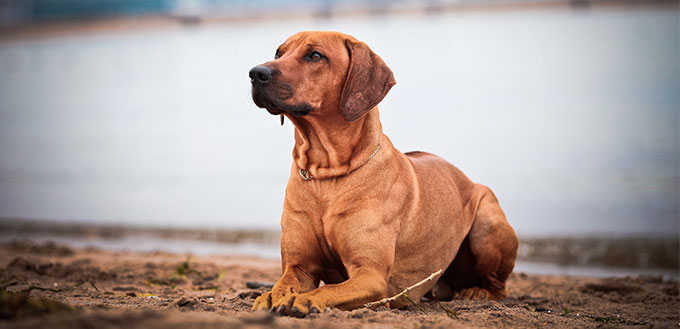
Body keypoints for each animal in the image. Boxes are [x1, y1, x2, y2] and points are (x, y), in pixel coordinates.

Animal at [250, 31, 520, 318]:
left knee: (498, 285)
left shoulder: (371, 275)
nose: (256, 73)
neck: (326, 177)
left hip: (487, 222)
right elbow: (285, 281)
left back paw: (478, 292)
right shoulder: (299, 266)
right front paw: (272, 295)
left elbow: (328, 289)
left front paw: (305, 299)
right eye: (278, 53)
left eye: (315, 55)